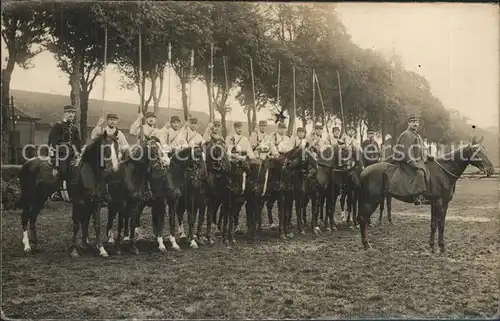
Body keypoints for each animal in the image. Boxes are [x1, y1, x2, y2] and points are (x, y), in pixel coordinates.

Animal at [358, 143, 494, 252]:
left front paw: (433, 246)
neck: (443, 172)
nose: (491, 169)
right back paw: (367, 245)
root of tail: (364, 171)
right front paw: (440, 247)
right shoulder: (439, 203)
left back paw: (365, 244)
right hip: (372, 201)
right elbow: (439, 224)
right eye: (478, 153)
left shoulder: (440, 204)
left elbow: (436, 224)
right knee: (363, 219)